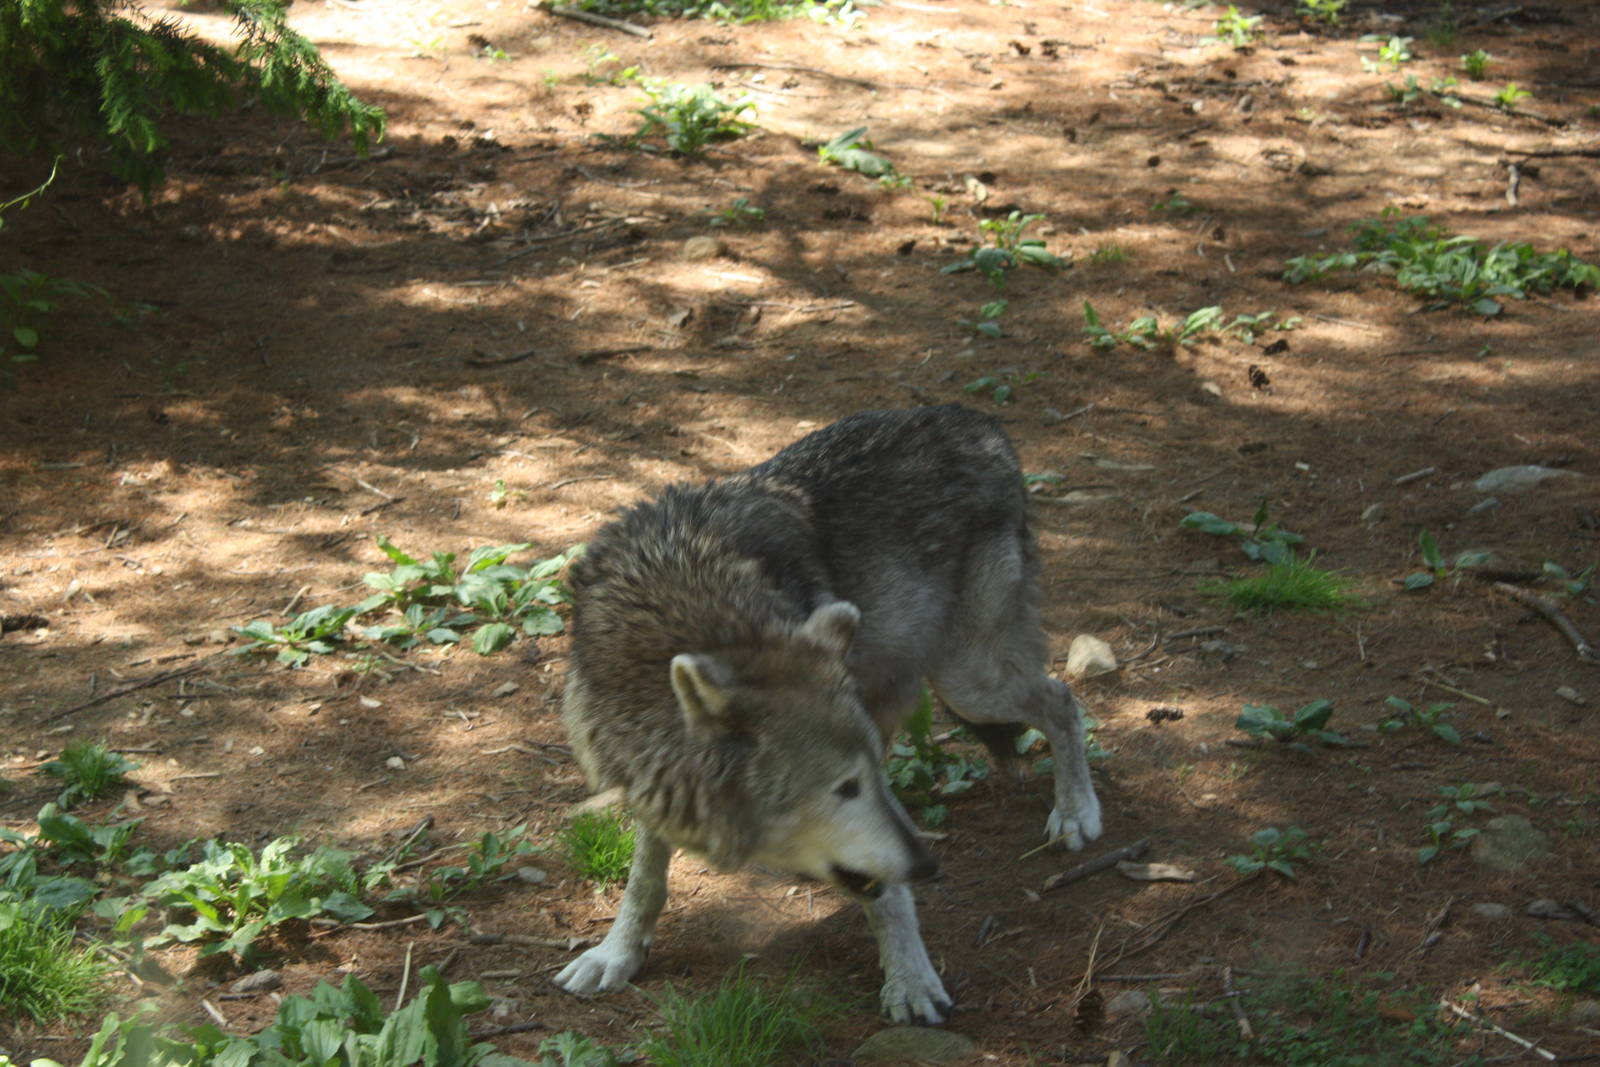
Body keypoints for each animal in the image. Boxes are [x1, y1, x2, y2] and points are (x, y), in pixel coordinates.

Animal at [553, 405, 1103, 1024]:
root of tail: (976, 420)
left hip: (970, 682)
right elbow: (644, 879)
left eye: (863, 782)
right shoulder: (651, 776)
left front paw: (910, 980)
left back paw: (1076, 812)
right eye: (844, 788)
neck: (691, 610)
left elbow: (887, 896)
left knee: (1062, 699)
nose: (928, 866)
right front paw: (616, 954)